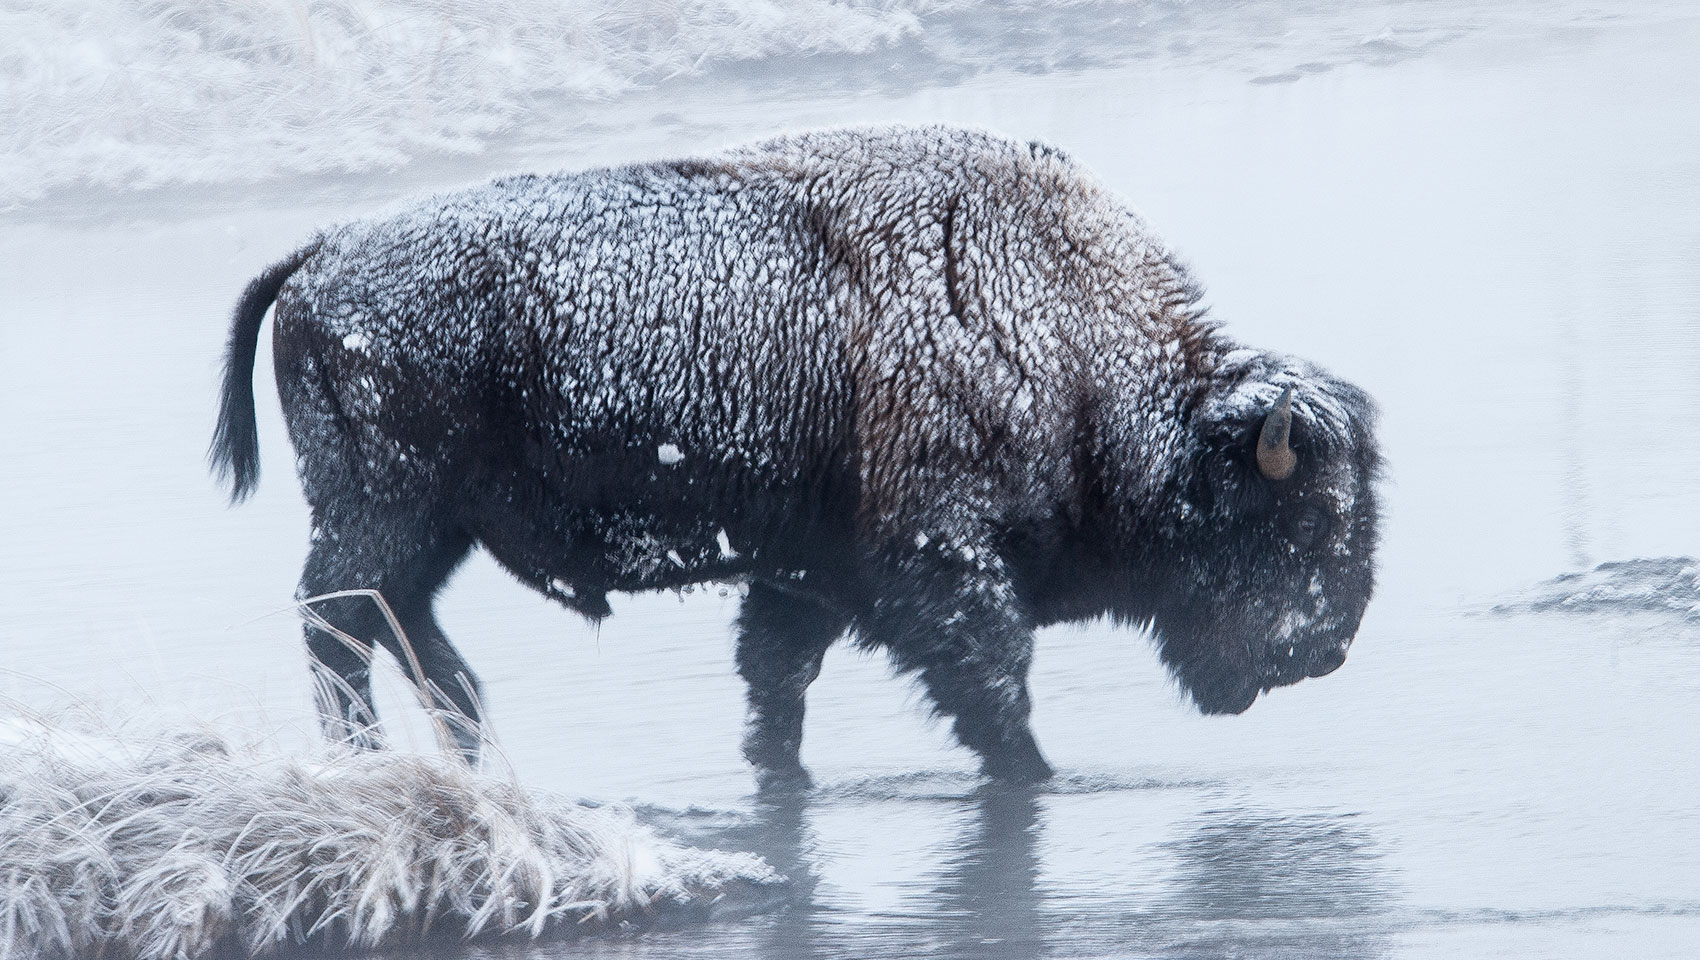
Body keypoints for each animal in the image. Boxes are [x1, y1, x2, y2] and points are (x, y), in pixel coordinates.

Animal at [212, 125, 1380, 784]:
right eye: (1299, 519)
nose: (1323, 649)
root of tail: (320, 254)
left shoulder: (804, 580)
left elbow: (777, 686)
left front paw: (780, 783)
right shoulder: (944, 573)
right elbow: (992, 691)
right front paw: (1038, 775)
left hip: (429, 527)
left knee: (402, 627)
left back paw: (465, 750)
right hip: (381, 512)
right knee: (340, 625)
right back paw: (369, 765)